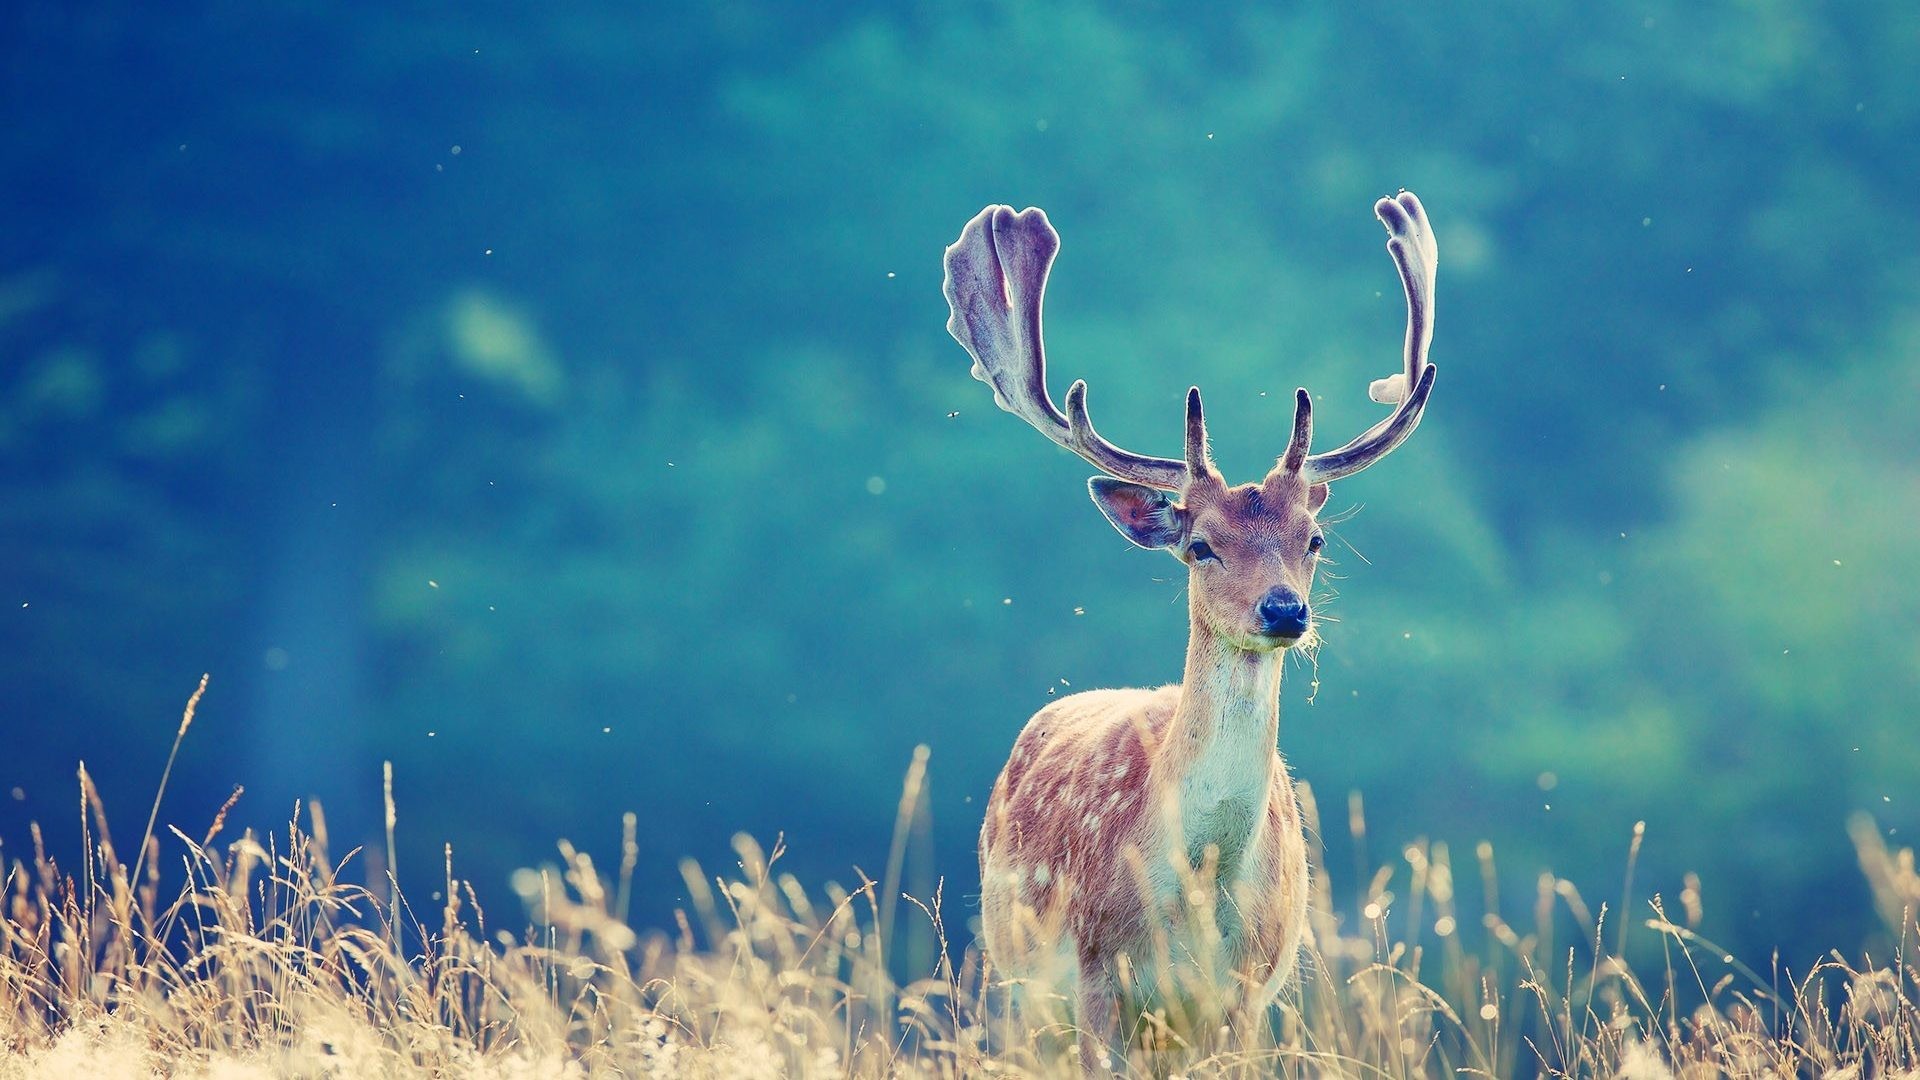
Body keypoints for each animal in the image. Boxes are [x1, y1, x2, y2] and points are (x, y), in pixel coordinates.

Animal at [944, 187, 1443, 1060]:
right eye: (1201, 545)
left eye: (1313, 539)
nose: (1284, 609)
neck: (1196, 891)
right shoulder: (1095, 978)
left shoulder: (1245, 993)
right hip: (1015, 985)